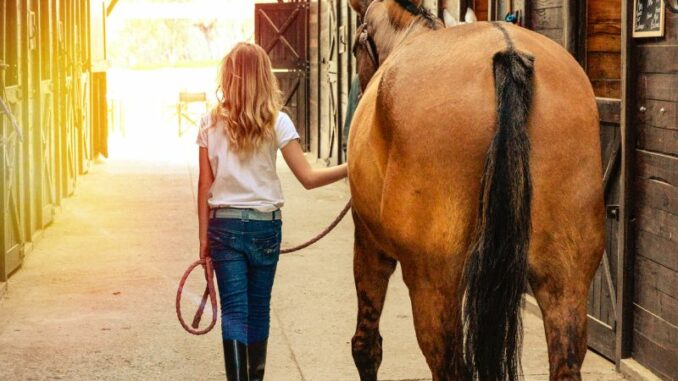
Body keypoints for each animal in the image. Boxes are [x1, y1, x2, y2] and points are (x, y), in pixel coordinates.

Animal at [346, 0, 604, 380]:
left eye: (354, 47)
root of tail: (508, 53)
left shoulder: (368, 243)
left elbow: (366, 347)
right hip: (566, 278)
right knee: (566, 359)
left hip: (433, 283)